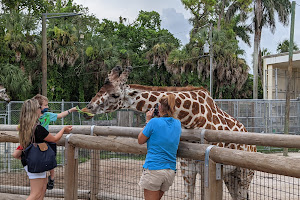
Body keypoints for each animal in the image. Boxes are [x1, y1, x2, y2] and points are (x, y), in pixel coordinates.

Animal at [82, 66, 255, 199]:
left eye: (115, 94)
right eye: (100, 89)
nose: (86, 110)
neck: (192, 118)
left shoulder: (209, 167)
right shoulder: (187, 168)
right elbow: (187, 197)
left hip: (244, 174)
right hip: (230, 176)